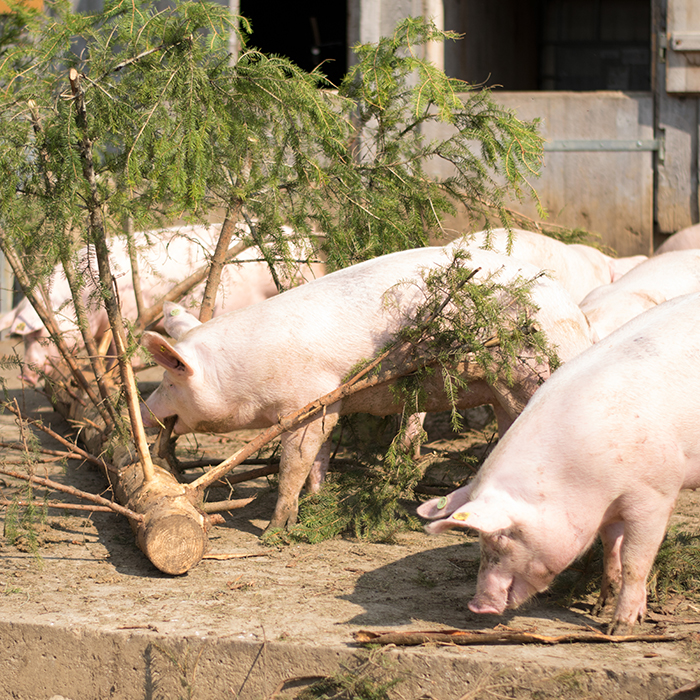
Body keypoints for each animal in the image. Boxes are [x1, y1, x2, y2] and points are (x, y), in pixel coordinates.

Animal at [142, 246, 596, 532]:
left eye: (169, 379)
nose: (145, 409)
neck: (247, 374)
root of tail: (578, 321)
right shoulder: (330, 402)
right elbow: (320, 455)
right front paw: (317, 503)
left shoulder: (307, 400)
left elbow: (294, 462)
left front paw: (275, 530)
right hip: (503, 394)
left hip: (527, 375)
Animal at [418, 290, 700, 636]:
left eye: (502, 536)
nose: (477, 605)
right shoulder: (608, 508)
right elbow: (612, 549)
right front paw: (599, 606)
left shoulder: (655, 494)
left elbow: (635, 562)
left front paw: (617, 629)